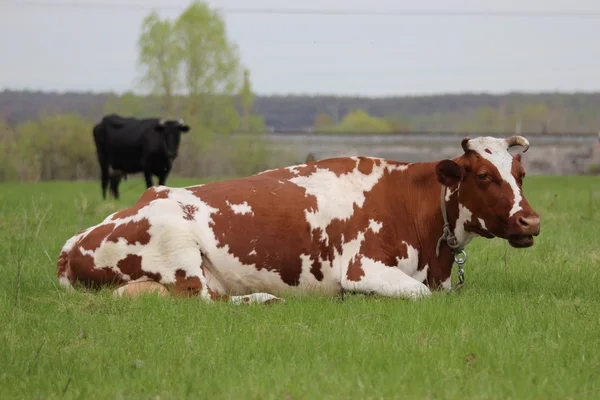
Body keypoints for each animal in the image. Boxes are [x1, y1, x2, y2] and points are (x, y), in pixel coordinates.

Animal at [58, 136, 540, 302]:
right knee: (204, 301)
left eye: (520, 174)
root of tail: (69, 247)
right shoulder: (363, 267)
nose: (531, 222)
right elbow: (420, 295)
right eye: (484, 175)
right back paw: (263, 298)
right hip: (180, 251)